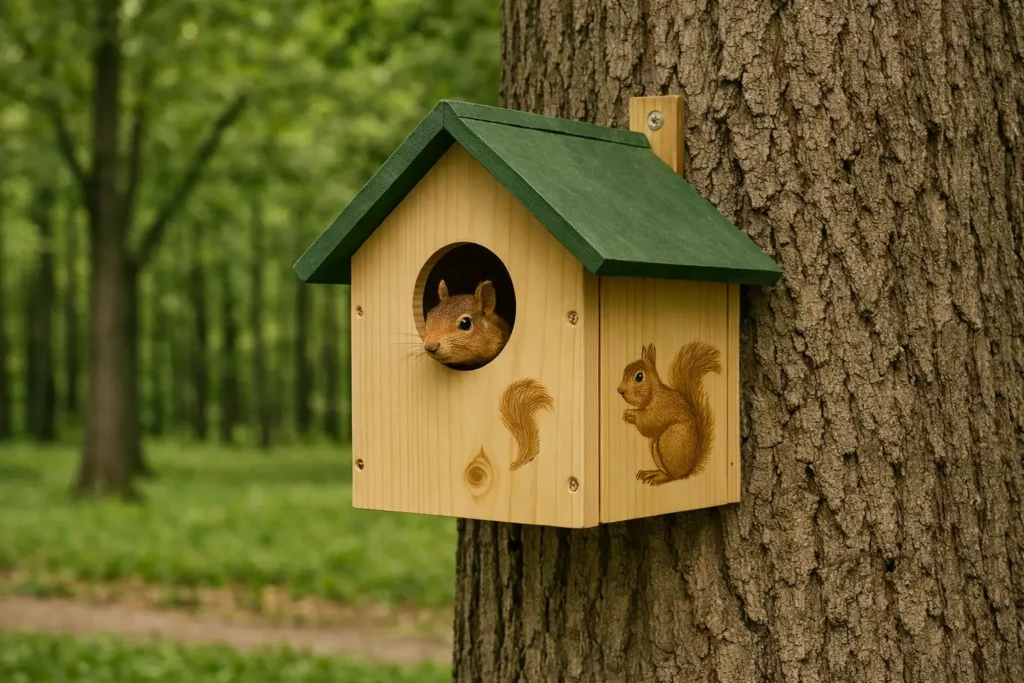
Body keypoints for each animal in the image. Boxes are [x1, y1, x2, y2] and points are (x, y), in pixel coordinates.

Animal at [618, 341, 721, 485]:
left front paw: (631, 414)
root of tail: (688, 469)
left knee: (674, 476)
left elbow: (648, 422)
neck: (654, 394)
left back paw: (658, 477)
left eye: (639, 376)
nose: (620, 390)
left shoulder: (660, 410)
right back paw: (652, 473)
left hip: (668, 442)